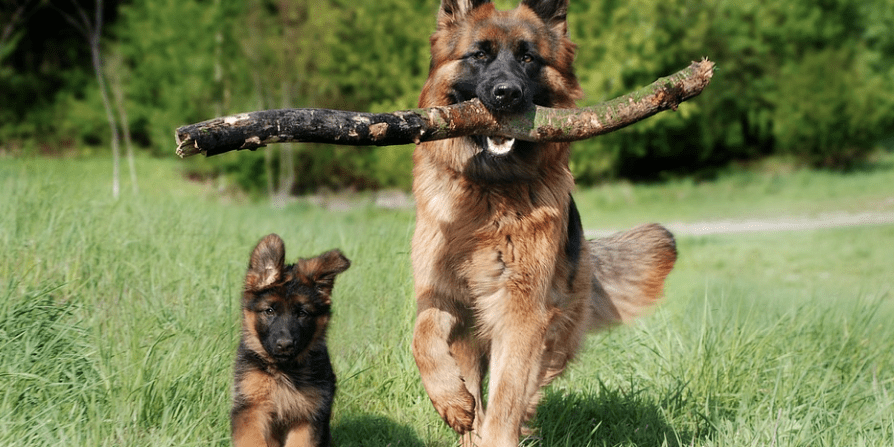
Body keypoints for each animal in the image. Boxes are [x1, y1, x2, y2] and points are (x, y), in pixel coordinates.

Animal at [233, 234, 352, 447]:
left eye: (302, 313)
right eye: (269, 311)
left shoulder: (307, 417)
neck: (284, 370)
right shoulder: (251, 408)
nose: (285, 345)